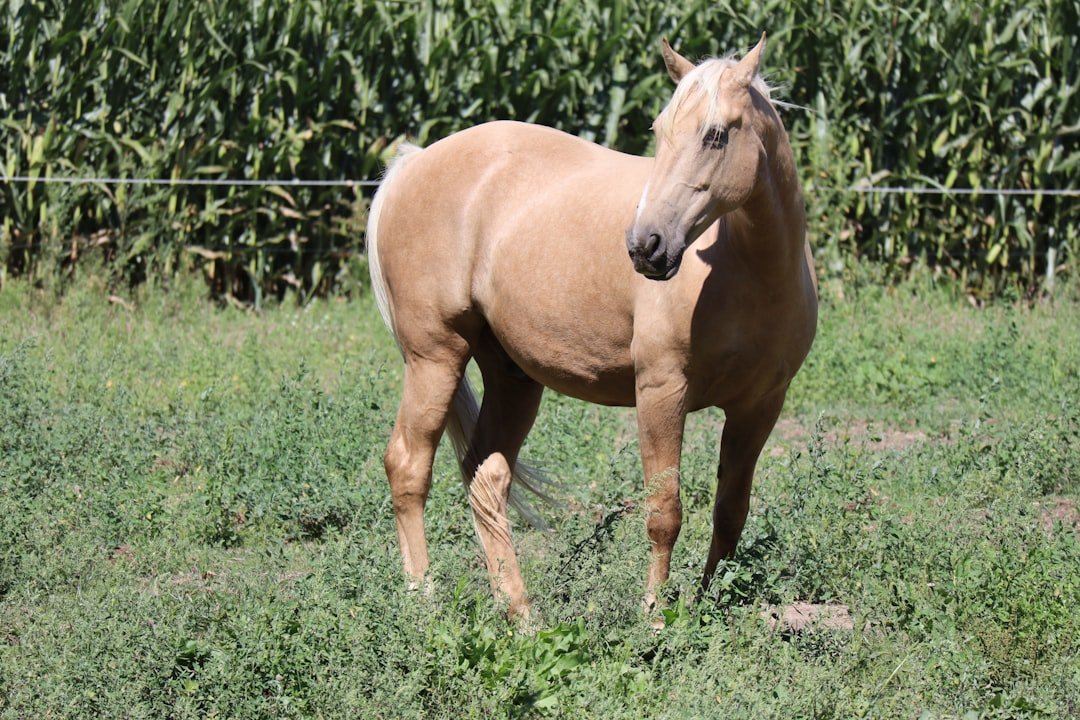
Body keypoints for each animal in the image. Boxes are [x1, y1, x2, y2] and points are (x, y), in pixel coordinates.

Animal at [366, 34, 817, 621]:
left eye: (716, 134)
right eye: (659, 130)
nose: (645, 245)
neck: (748, 271)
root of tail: (414, 163)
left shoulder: (760, 406)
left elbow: (730, 514)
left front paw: (702, 607)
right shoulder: (661, 392)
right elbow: (664, 513)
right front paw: (655, 618)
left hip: (512, 376)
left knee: (486, 478)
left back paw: (521, 615)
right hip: (435, 357)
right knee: (408, 467)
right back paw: (424, 602)